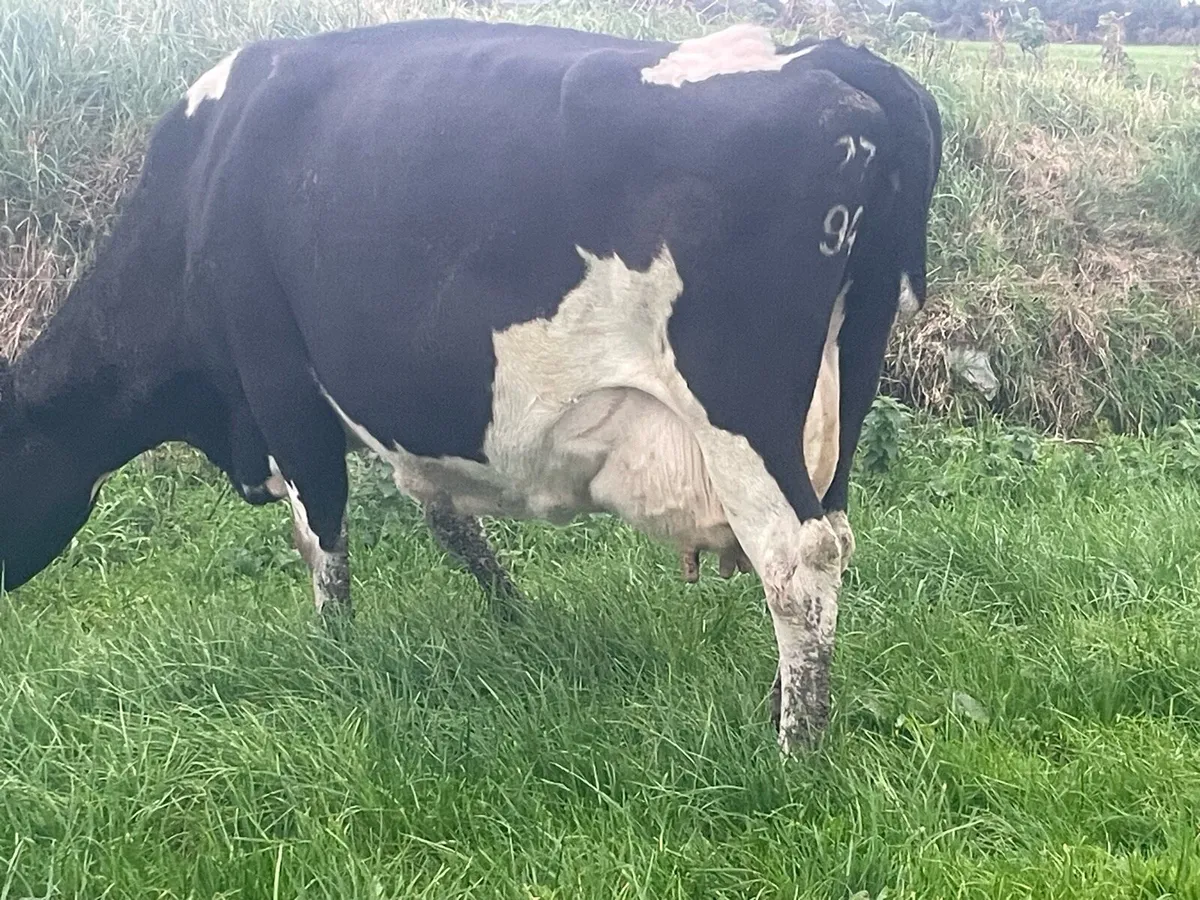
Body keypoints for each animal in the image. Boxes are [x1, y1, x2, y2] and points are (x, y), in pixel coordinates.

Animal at [0, 19, 942, 752]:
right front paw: (517, 622)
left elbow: (324, 537)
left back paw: (796, 749)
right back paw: (785, 707)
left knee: (797, 559)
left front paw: (335, 653)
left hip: (739, 411)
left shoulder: (278, 386)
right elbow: (449, 522)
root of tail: (835, 62)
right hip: (844, 392)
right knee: (834, 537)